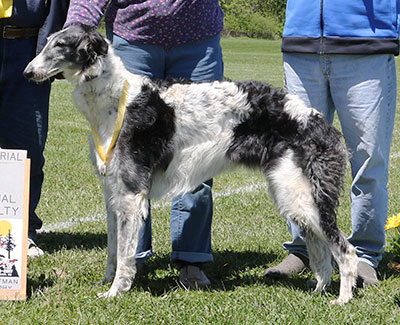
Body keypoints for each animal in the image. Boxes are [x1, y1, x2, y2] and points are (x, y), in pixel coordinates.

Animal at [24, 24, 356, 302]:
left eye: (60, 45)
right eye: (47, 42)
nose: (27, 72)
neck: (117, 98)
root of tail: (317, 120)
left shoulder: (131, 194)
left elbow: (124, 255)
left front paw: (115, 292)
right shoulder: (113, 193)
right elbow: (113, 251)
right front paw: (107, 282)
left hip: (302, 197)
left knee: (345, 250)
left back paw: (343, 299)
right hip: (294, 195)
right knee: (321, 253)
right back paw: (318, 291)